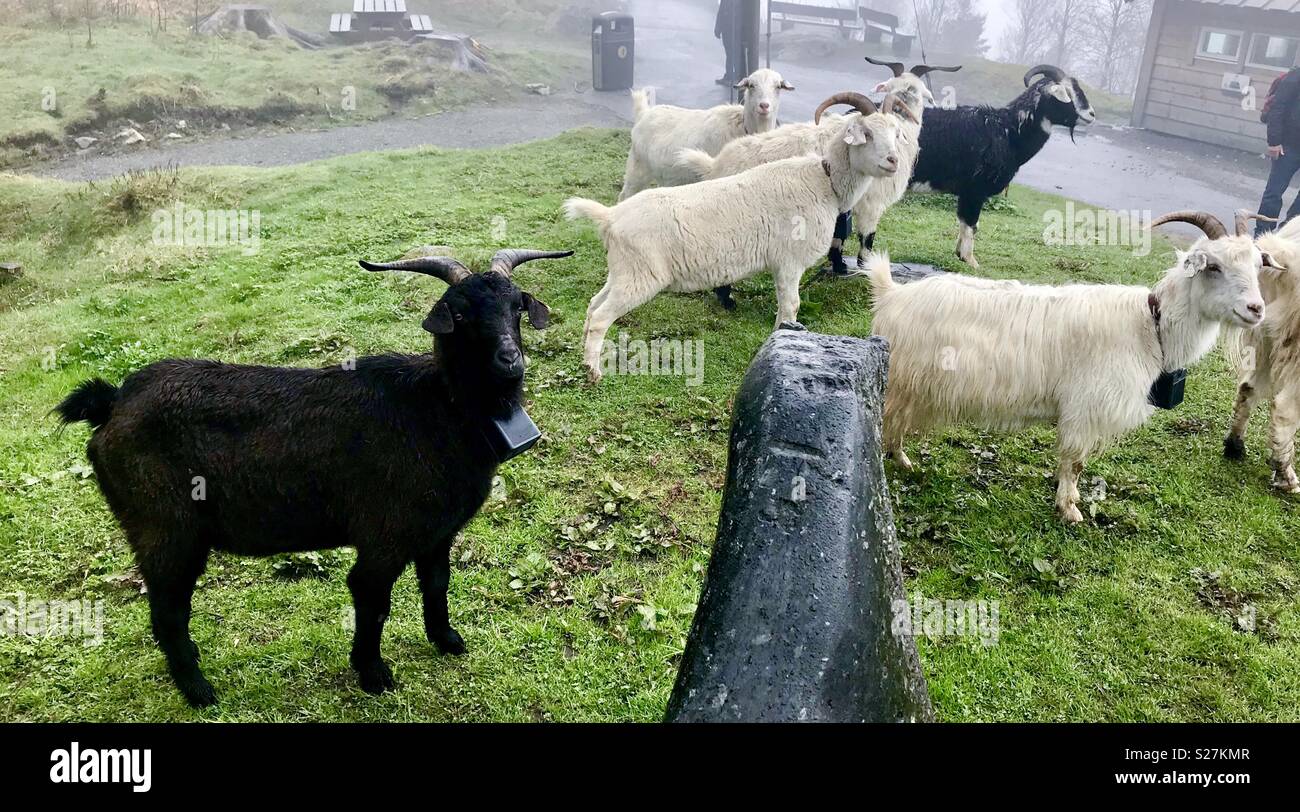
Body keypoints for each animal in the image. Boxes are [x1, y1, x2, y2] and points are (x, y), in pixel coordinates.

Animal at [54, 248, 570, 706]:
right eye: (459, 314)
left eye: (516, 307)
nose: (510, 359)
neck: (437, 408)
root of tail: (112, 403)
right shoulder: (384, 537)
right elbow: (372, 599)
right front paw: (373, 675)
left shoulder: (436, 534)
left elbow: (437, 583)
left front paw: (447, 641)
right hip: (165, 529)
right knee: (167, 611)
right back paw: (199, 691)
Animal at [565, 93, 906, 383]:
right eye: (866, 133)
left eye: (895, 132)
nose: (893, 161)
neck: (824, 179)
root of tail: (610, 217)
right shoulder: (788, 261)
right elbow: (791, 306)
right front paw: (783, 336)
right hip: (640, 276)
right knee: (601, 317)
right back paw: (593, 372)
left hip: (623, 271)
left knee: (593, 306)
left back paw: (583, 356)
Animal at [619, 68, 794, 201]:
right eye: (751, 85)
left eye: (778, 86)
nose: (764, 106)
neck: (744, 127)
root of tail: (644, 113)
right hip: (637, 167)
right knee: (625, 195)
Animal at [865, 211, 1267, 523]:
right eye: (1213, 267)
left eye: (1257, 266)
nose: (1256, 309)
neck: (1149, 325)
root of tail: (891, 294)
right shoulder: (1084, 408)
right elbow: (1074, 462)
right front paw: (1070, 509)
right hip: (899, 380)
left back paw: (901, 459)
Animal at [903, 64, 1095, 270]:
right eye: (1068, 93)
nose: (1091, 114)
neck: (1008, 130)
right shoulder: (974, 190)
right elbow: (971, 224)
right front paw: (970, 260)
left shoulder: (967, 193)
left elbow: (969, 224)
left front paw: (960, 253)